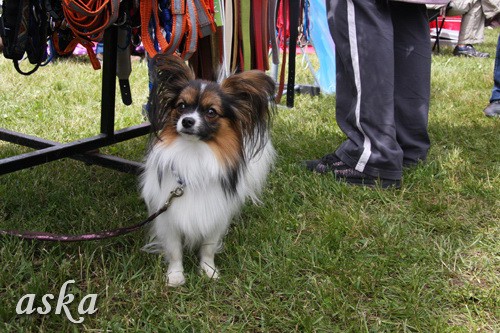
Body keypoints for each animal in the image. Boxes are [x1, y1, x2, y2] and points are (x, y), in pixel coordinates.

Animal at [140, 53, 278, 286]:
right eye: (182, 106)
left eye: (211, 112)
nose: (187, 121)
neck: (194, 152)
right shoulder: (169, 217)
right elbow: (175, 250)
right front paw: (175, 276)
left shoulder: (215, 213)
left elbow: (208, 247)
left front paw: (208, 271)